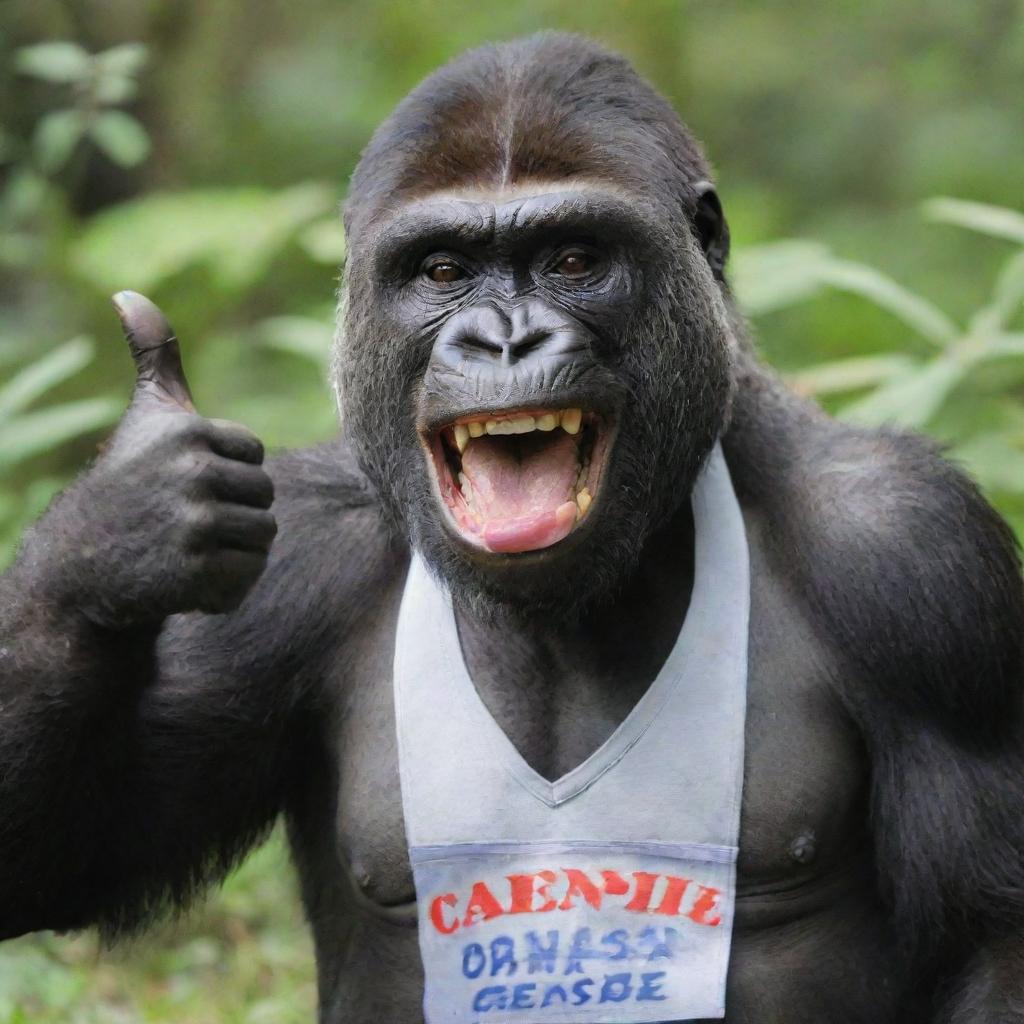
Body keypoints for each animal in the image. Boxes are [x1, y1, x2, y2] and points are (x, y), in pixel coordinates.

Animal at [2, 32, 1024, 1024]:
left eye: (574, 259)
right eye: (444, 271)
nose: (504, 340)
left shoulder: (917, 559)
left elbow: (993, 945)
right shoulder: (300, 552)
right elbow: (69, 852)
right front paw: (120, 532)